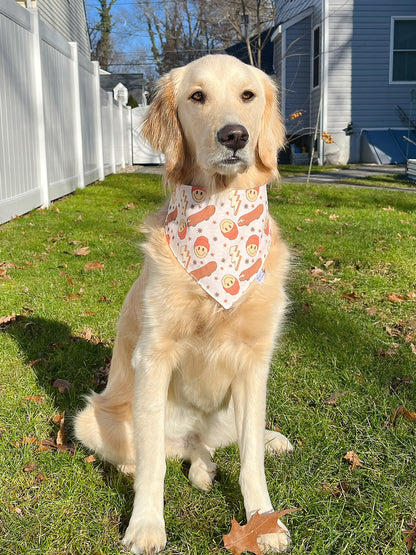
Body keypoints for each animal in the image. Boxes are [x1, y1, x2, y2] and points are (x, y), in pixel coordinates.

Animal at [75, 53, 296, 555]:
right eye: (197, 96)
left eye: (248, 95)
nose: (234, 135)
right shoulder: (154, 356)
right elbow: (154, 463)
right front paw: (145, 525)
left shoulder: (254, 363)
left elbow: (250, 461)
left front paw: (263, 521)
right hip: (91, 419)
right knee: (160, 452)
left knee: (219, 444)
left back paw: (248, 448)